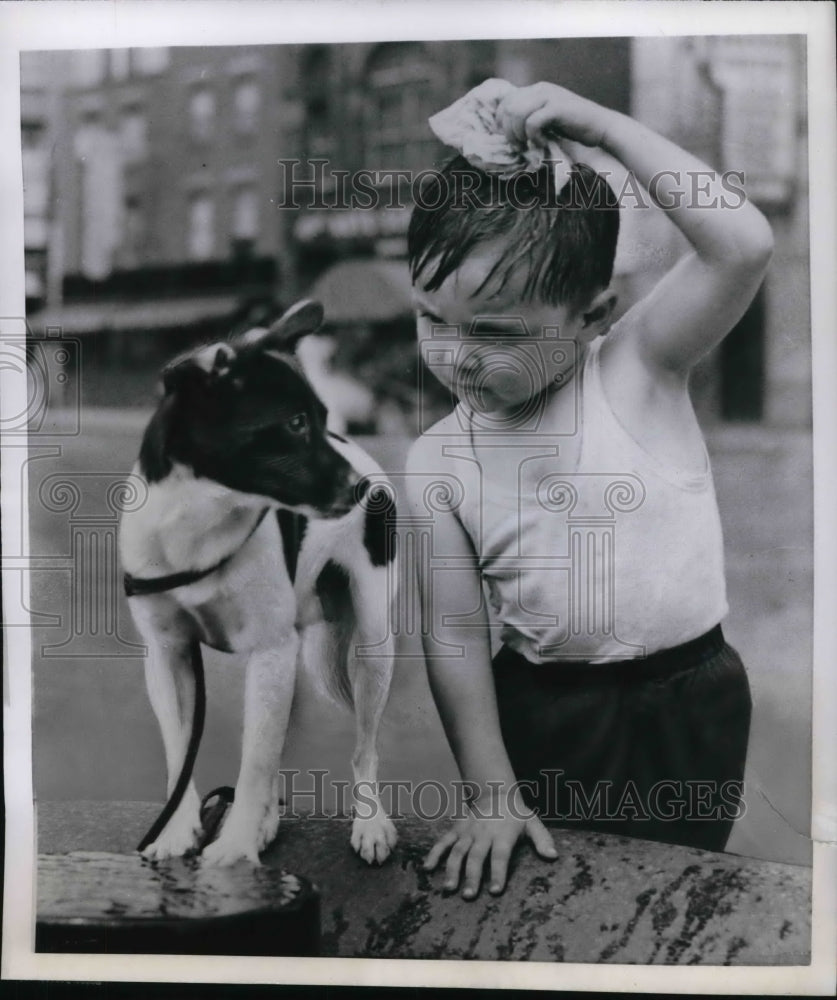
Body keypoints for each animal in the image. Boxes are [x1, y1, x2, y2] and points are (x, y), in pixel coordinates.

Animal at [118, 298, 402, 868]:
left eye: (321, 419)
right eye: (294, 423)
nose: (362, 489)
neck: (201, 522)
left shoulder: (270, 650)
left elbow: (253, 765)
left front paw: (235, 849)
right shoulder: (168, 654)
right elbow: (182, 752)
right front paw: (179, 830)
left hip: (373, 648)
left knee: (364, 748)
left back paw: (370, 822)